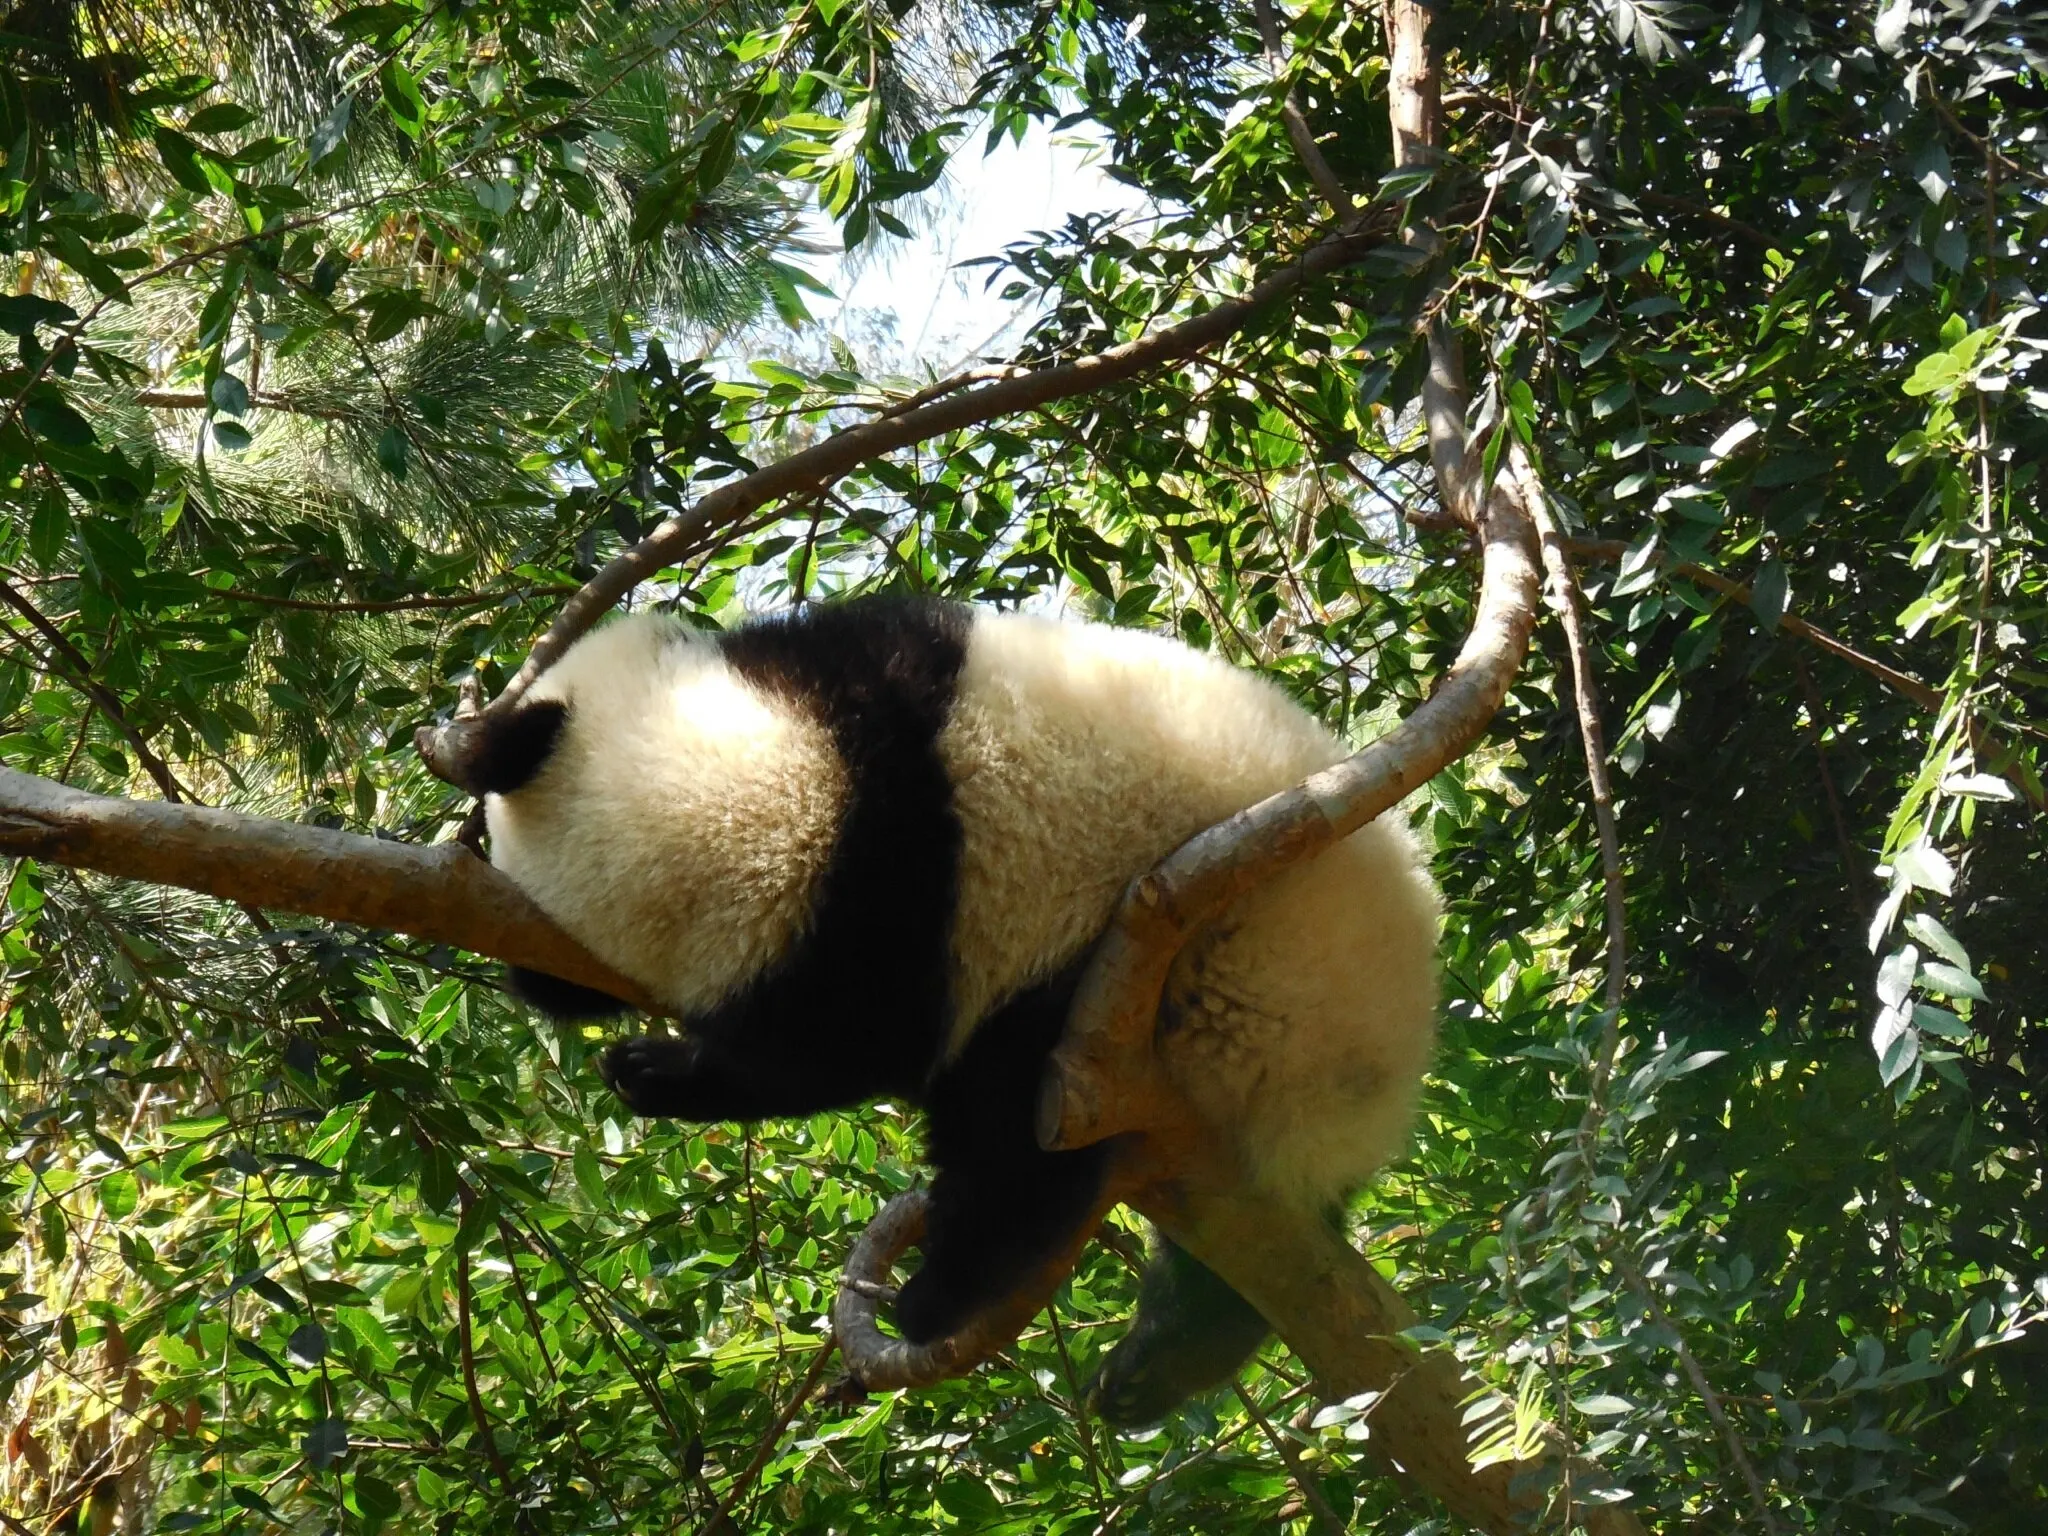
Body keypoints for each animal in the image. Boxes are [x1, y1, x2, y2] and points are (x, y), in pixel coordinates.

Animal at [461, 595, 1440, 1420]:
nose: (529, 984)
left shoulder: (890, 893)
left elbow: (846, 1045)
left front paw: (657, 1069)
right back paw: (1166, 1358)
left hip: (1214, 975)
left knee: (1021, 1138)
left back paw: (943, 1298)